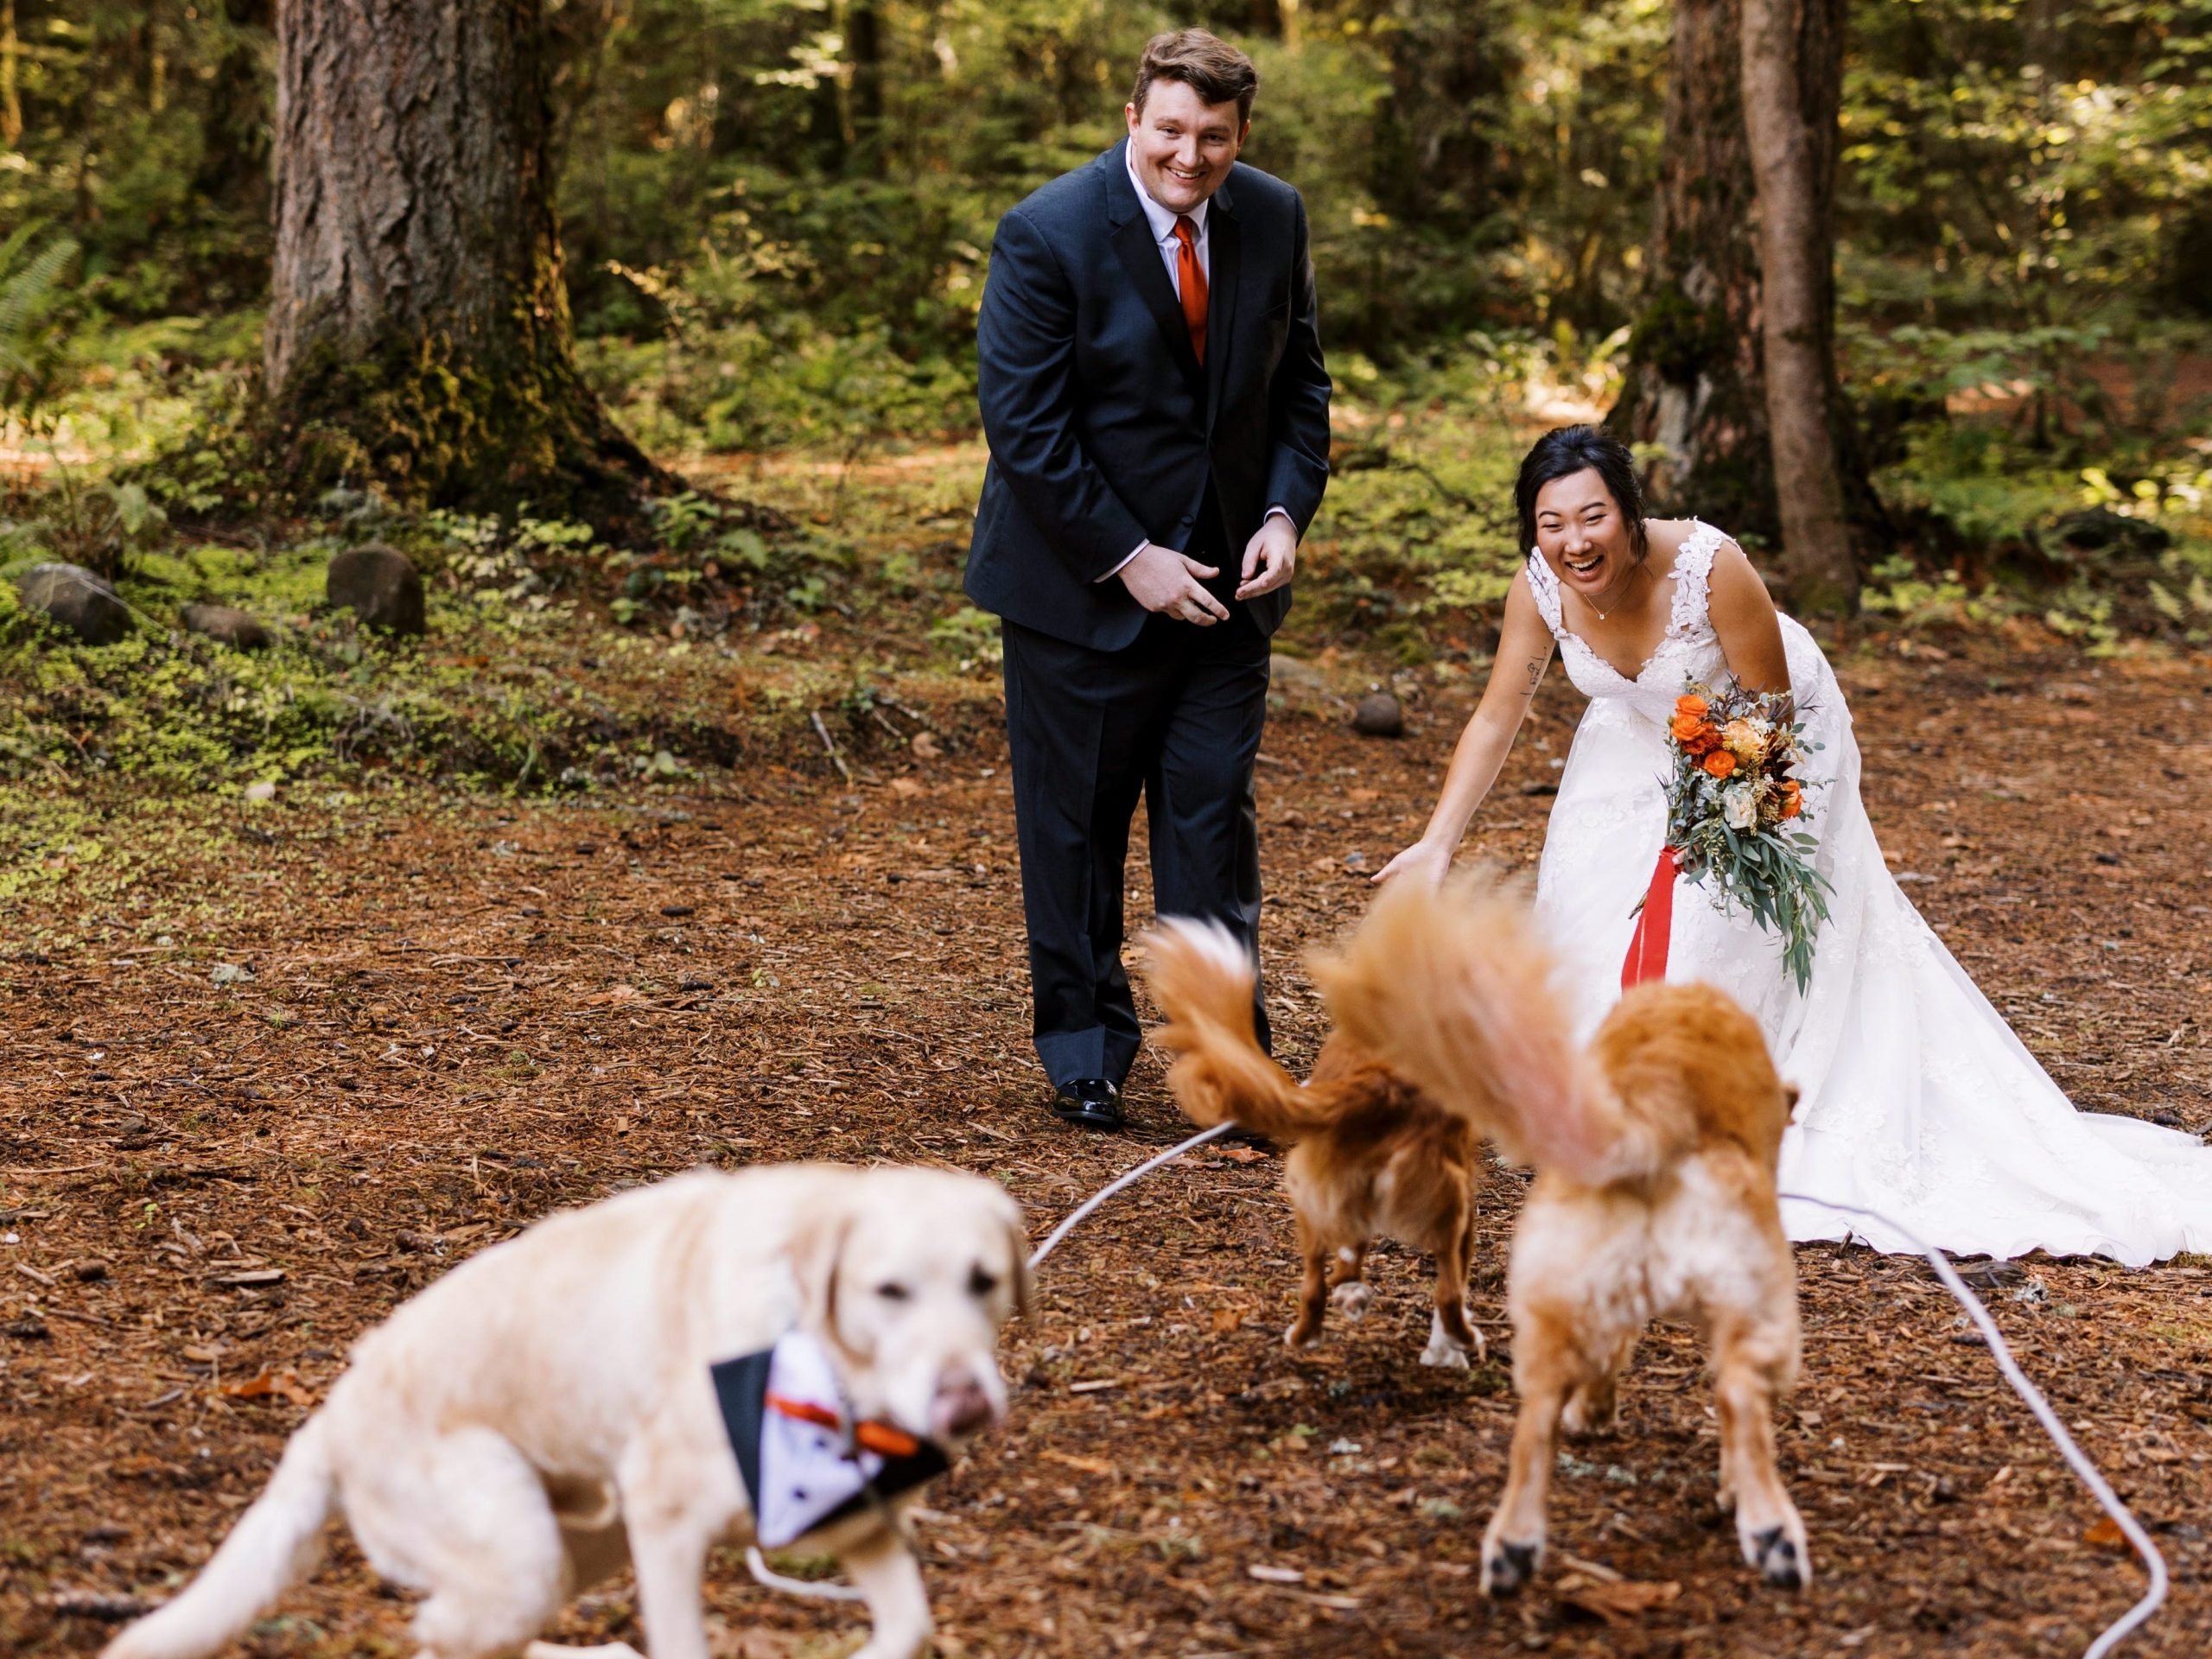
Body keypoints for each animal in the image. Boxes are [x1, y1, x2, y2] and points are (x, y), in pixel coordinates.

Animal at [104, 1159, 1035, 1659]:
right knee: (438, 1634)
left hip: (583, 1539)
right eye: (889, 1291)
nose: (965, 1405)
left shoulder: (860, 1529)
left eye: (984, 1282)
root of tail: (329, 1418)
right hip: (525, 1552)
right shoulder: (668, 1534)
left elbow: (907, 1625)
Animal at [1141, 915, 1486, 1371]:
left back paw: (1313, 1330)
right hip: (1450, 1210)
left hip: (1318, 1203)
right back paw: (1462, 1338)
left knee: (1319, 1286)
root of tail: (1380, 1085)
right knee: (1446, 1293)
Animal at [1300, 885, 1804, 1601]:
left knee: (1534, 1425)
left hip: (1558, 1309)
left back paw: (1515, 1545)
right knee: (1740, 1404)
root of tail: (1660, 1111)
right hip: (1760, 1311)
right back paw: (1769, 1531)